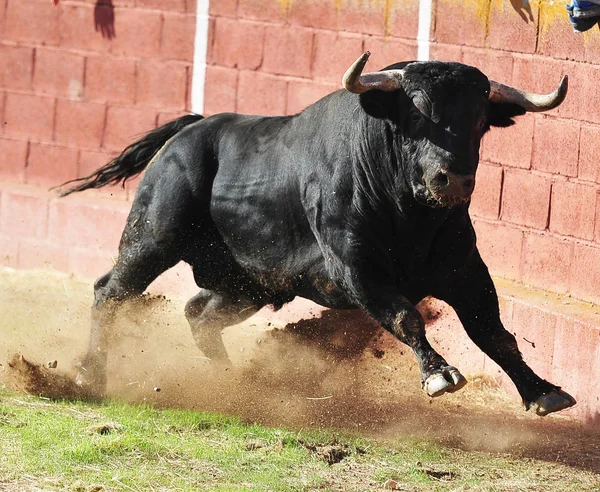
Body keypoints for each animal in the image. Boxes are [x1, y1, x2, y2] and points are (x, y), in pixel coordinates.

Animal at [59, 52, 576, 416]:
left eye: (480, 122)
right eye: (415, 115)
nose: (452, 180)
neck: (411, 216)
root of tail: (191, 129)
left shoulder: (465, 271)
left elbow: (495, 333)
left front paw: (542, 391)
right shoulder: (356, 269)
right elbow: (406, 317)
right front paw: (439, 375)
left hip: (248, 285)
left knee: (198, 314)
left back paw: (234, 383)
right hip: (153, 239)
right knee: (111, 291)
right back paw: (89, 375)